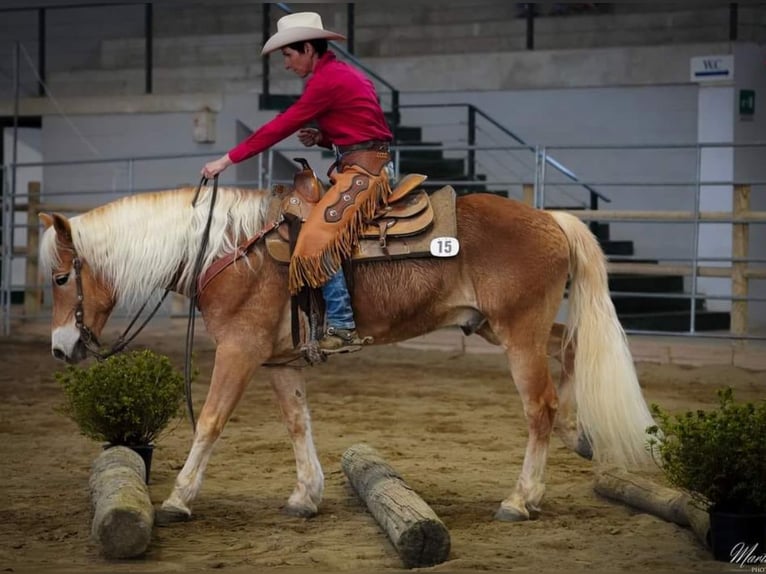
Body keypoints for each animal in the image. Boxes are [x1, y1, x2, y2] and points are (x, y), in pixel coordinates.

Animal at [39, 187, 656, 524]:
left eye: (62, 276)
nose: (60, 348)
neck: (229, 251)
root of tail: (552, 219)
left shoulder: (239, 350)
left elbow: (210, 421)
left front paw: (178, 498)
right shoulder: (279, 361)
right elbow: (298, 421)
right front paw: (305, 494)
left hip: (518, 334)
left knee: (538, 407)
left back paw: (521, 497)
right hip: (500, 327)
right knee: (571, 349)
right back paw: (578, 434)